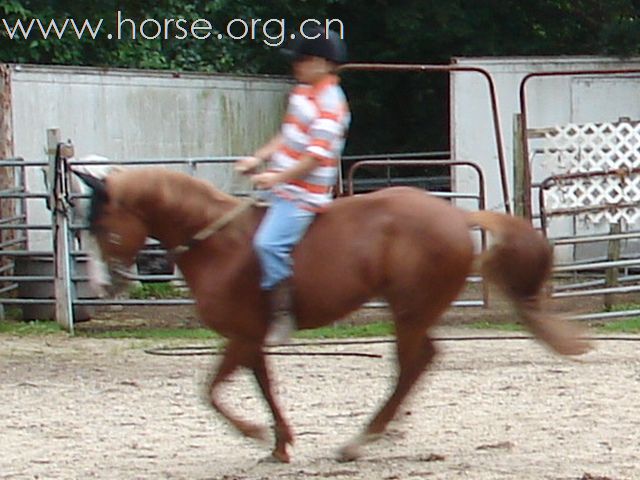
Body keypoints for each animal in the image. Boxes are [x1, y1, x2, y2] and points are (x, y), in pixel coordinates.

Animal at [75, 167, 592, 464]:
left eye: (103, 224)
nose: (105, 286)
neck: (219, 243)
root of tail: (454, 216)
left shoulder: (243, 334)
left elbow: (214, 390)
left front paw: (256, 433)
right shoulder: (247, 338)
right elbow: (253, 385)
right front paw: (278, 443)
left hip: (409, 311)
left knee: (413, 364)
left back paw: (362, 439)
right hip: (411, 311)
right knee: (419, 362)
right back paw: (381, 431)